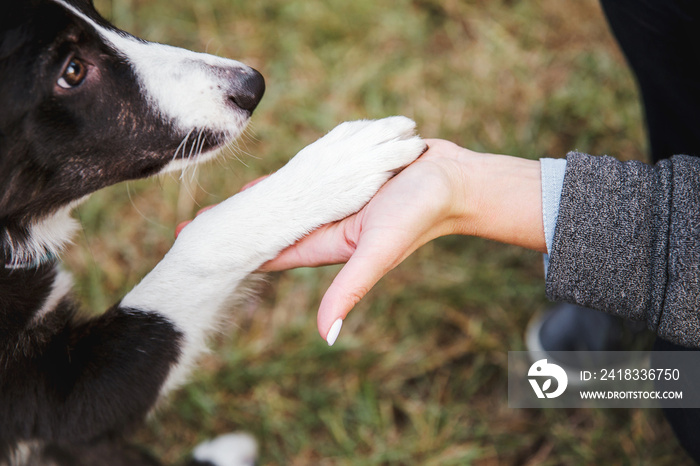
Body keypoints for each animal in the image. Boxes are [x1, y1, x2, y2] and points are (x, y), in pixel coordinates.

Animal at [0, 0, 424, 464]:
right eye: (72, 71)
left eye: (93, 8)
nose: (253, 85)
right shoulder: (62, 400)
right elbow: (198, 242)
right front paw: (333, 166)